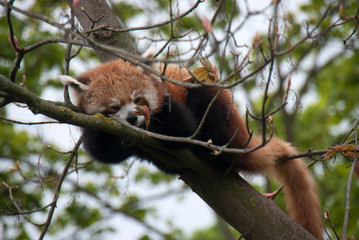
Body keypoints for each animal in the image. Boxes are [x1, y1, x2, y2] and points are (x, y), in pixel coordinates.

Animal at [59, 58, 324, 240]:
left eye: (138, 100)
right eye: (114, 107)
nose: (133, 118)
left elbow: (184, 130)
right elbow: (101, 151)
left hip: (217, 106)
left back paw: (215, 155)